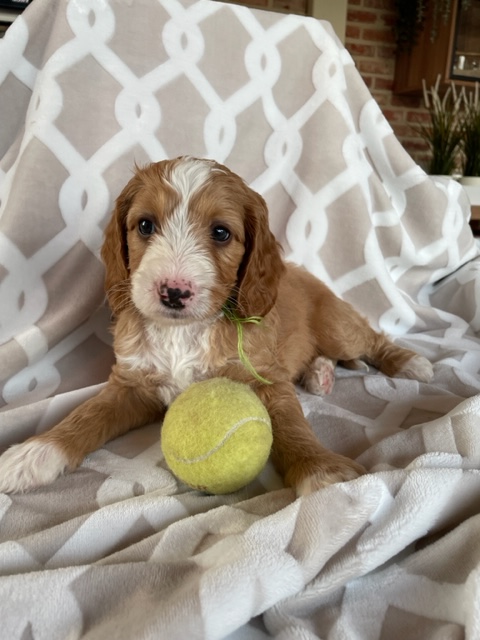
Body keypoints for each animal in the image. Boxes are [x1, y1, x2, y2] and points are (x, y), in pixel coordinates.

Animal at [0, 157, 433, 495]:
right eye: (145, 225)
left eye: (221, 232)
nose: (174, 292)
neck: (183, 331)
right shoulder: (131, 384)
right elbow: (87, 414)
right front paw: (36, 453)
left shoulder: (266, 379)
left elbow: (292, 426)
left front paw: (322, 471)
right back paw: (320, 373)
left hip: (336, 325)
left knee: (370, 339)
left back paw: (408, 362)